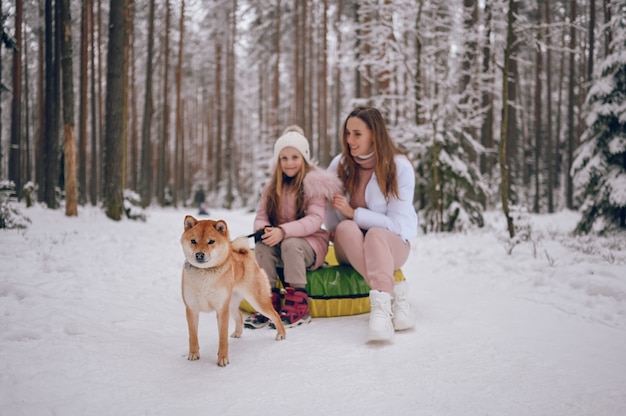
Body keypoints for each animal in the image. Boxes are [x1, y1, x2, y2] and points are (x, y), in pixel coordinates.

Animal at [178, 216, 286, 366]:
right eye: (193, 241)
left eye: (211, 241)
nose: (199, 255)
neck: (205, 274)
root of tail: (245, 253)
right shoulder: (191, 309)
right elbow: (193, 335)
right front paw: (193, 354)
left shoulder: (221, 310)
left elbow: (222, 338)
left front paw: (222, 358)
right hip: (232, 304)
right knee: (239, 316)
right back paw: (238, 333)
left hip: (256, 301)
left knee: (275, 315)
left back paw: (281, 334)